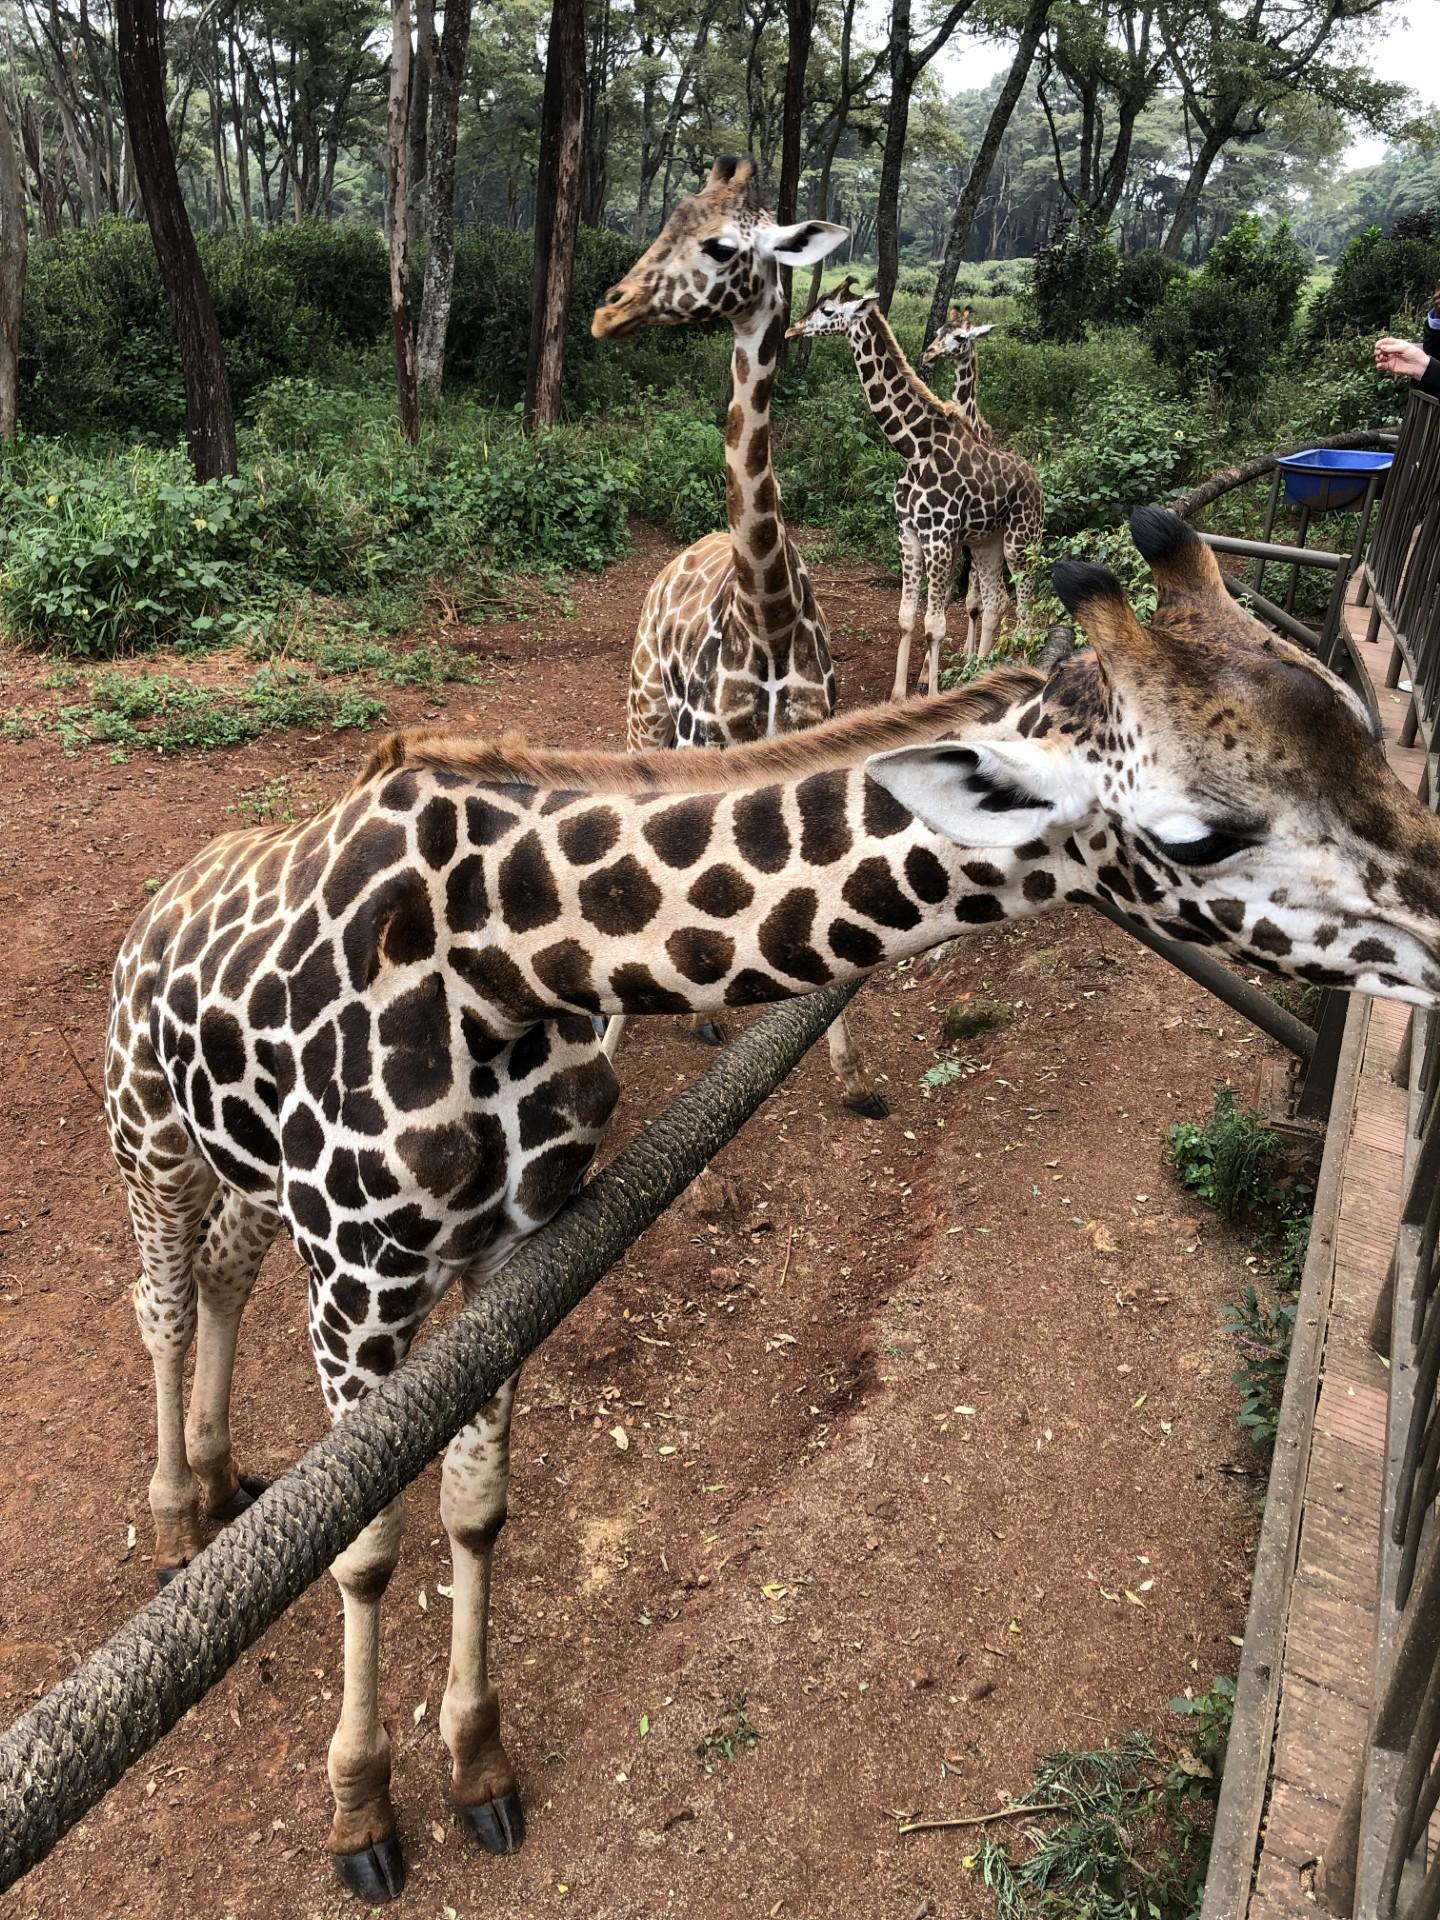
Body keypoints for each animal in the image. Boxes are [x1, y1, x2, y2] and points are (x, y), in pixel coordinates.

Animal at [105, 507, 1440, 1901]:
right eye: (1198, 832)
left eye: (1363, 721)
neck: (507, 960)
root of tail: (154, 916)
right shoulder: (363, 1275)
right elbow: (363, 1547)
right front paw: (362, 1815)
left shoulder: (507, 1253)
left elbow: (476, 1510)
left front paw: (478, 1768)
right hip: (150, 1131)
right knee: (156, 1291)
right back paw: (172, 1514)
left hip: (251, 1177)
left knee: (222, 1265)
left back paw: (219, 1475)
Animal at [592, 155, 883, 1118]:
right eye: (664, 223)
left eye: (720, 245)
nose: (607, 309)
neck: (769, 610)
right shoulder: (714, 745)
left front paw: (850, 1074)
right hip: (648, 713)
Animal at [786, 278, 1045, 695]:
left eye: (828, 310)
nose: (792, 330)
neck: (913, 449)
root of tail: (1038, 482)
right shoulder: (908, 534)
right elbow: (907, 617)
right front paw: (898, 693)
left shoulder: (940, 538)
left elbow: (935, 625)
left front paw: (931, 690)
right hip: (987, 542)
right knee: (995, 602)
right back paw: (979, 672)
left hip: (1021, 541)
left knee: (1024, 606)